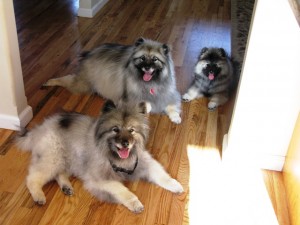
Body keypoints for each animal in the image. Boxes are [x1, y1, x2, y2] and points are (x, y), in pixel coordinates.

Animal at [15, 100, 184, 213]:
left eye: (131, 130)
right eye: (115, 129)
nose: (125, 143)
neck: (117, 157)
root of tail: (40, 128)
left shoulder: (143, 162)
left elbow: (162, 176)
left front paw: (175, 184)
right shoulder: (101, 178)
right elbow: (123, 191)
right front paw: (135, 203)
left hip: (71, 161)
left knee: (59, 174)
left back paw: (66, 187)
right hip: (54, 159)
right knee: (32, 178)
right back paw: (38, 196)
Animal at [43, 37, 182, 124]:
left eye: (155, 59)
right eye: (142, 58)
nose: (147, 67)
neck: (151, 82)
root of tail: (90, 53)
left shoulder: (166, 93)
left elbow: (171, 104)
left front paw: (175, 116)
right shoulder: (132, 98)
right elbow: (145, 104)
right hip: (83, 83)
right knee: (66, 80)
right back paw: (49, 81)